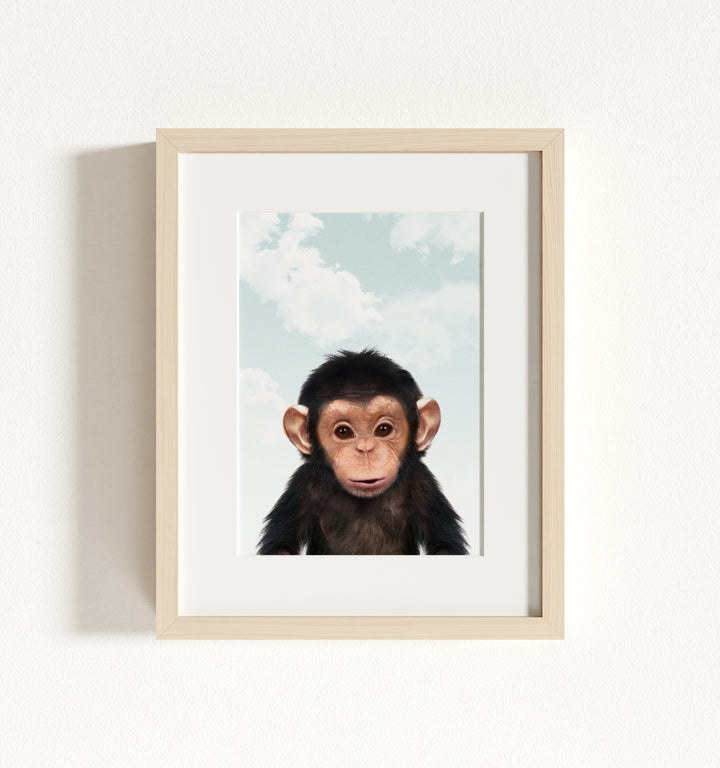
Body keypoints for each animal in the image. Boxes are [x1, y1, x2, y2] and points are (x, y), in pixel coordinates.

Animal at [257, 349, 468, 555]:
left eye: (383, 429)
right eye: (343, 432)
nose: (365, 449)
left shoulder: (424, 484)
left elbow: (443, 545)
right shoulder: (300, 486)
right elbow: (282, 546)